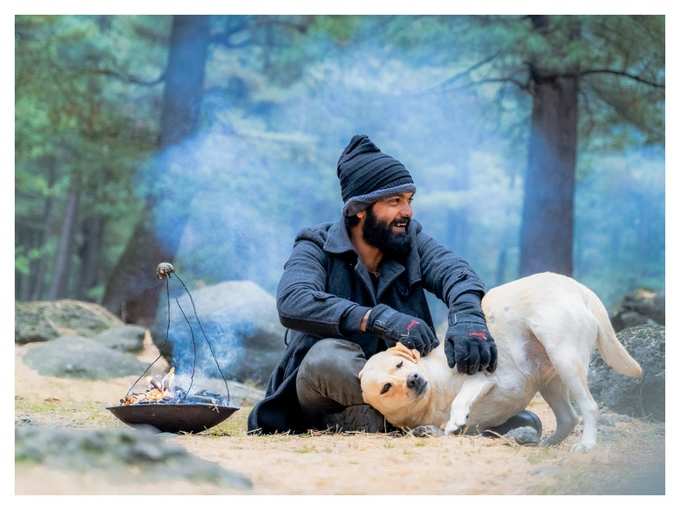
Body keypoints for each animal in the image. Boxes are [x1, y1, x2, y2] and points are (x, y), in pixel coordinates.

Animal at [362, 272, 644, 452]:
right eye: (386, 387)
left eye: (399, 365)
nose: (413, 380)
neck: (432, 396)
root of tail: (577, 288)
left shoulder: (483, 377)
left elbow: (460, 399)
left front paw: (456, 417)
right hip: (551, 380)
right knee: (569, 417)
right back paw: (547, 444)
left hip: (564, 357)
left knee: (590, 407)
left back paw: (586, 444)